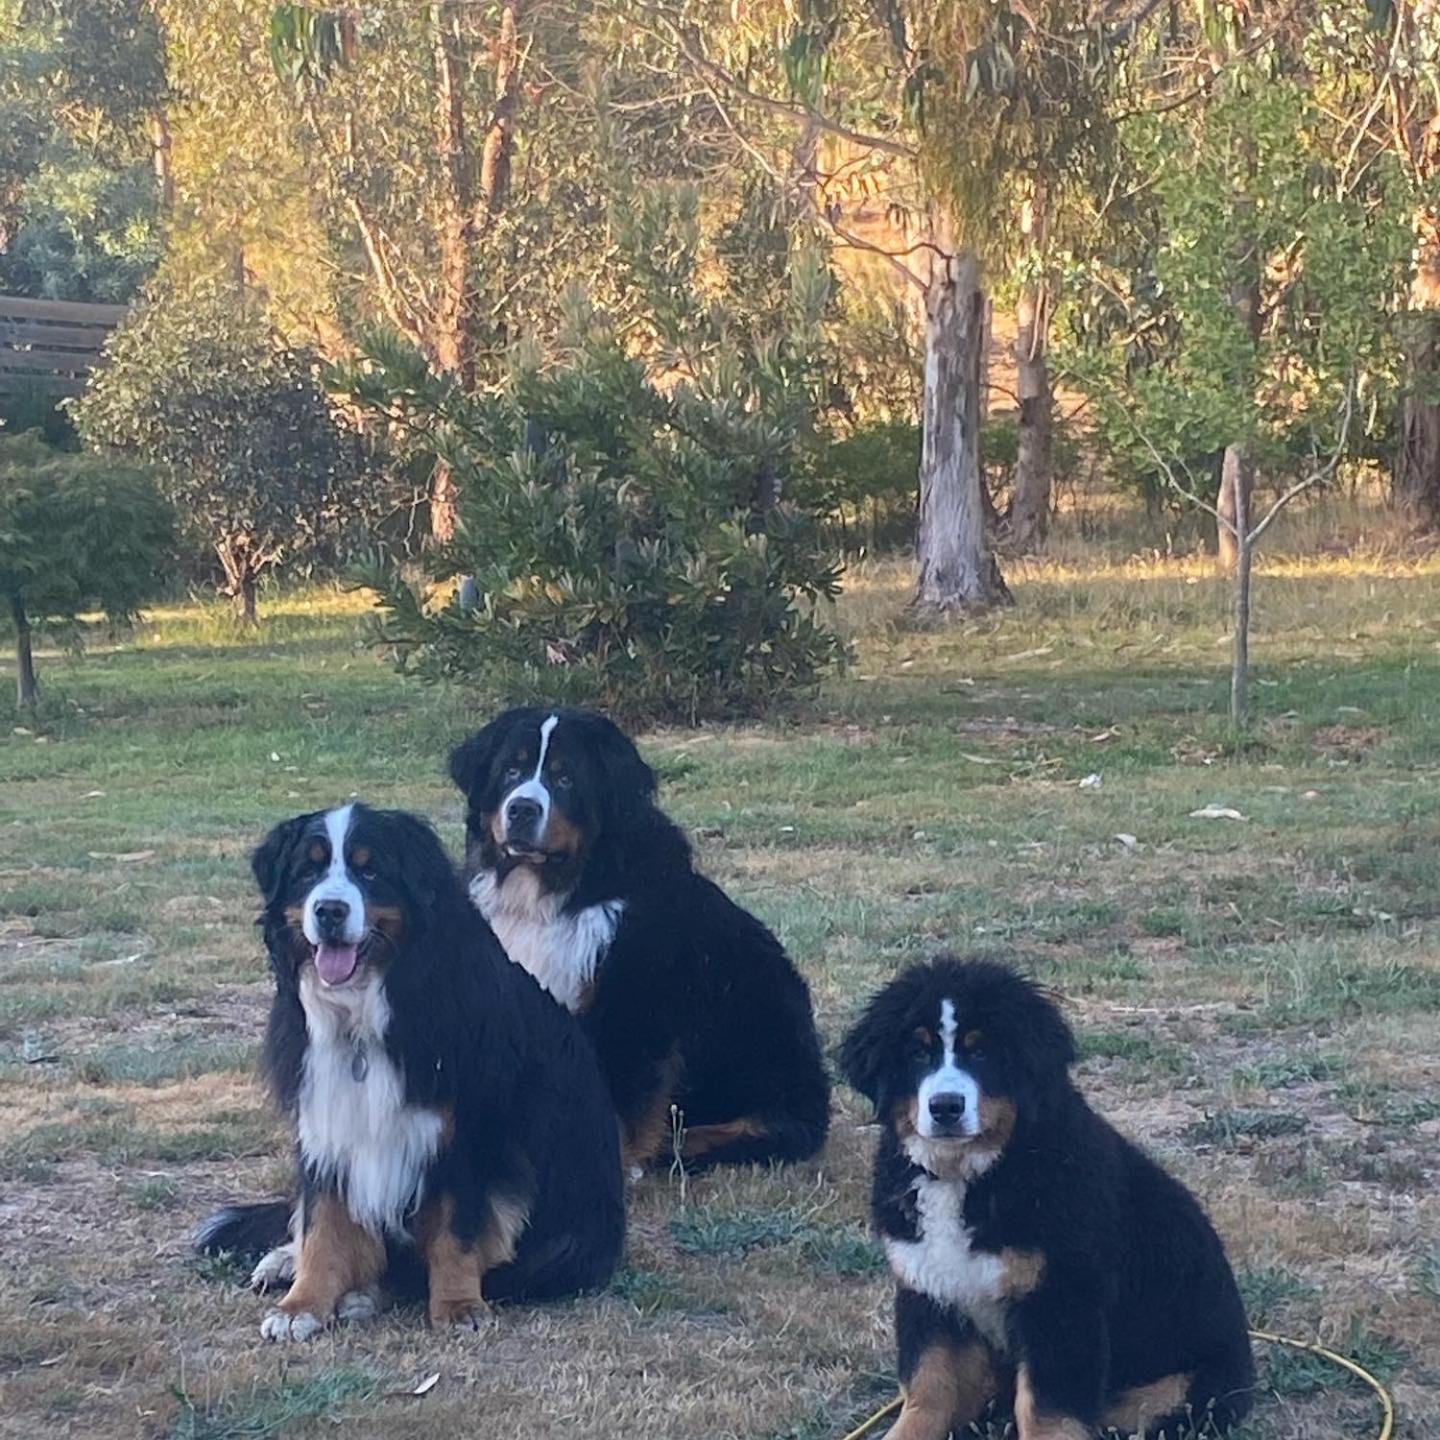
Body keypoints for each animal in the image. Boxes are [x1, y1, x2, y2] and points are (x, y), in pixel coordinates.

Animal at [194, 806, 622, 1330]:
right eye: (309, 871)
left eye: (370, 870)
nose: (329, 911)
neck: (370, 1010)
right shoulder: (327, 1118)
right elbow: (322, 1225)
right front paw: (301, 1305)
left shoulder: (468, 1134)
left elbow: (455, 1231)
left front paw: (458, 1307)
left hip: (566, 1236)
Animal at [449, 705, 835, 1169]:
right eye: (511, 770)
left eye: (566, 778)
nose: (522, 809)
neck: (555, 897)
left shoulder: (631, 1005)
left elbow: (620, 1105)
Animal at [840, 956, 1255, 1440]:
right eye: (918, 1052)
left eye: (981, 1052)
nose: (945, 1106)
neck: (969, 1175)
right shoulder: (927, 1287)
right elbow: (929, 1384)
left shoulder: (1061, 1297)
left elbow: (1045, 1405)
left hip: (1180, 1389)